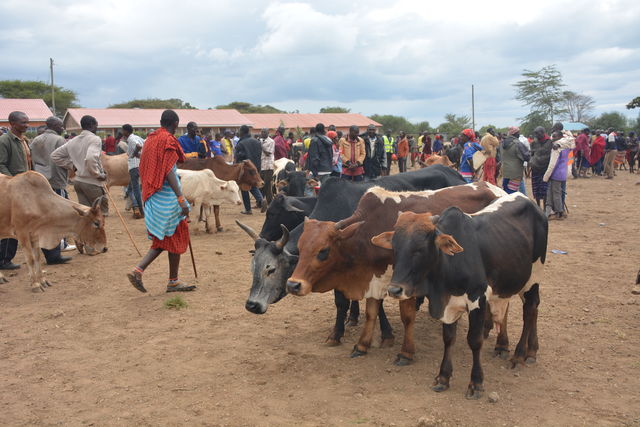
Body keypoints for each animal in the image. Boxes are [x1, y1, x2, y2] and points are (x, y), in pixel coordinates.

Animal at [284, 182, 504, 366]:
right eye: (300, 248)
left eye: (323, 251)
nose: (293, 285)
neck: (369, 231)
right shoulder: (375, 279)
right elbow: (371, 312)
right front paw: (362, 345)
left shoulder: (405, 284)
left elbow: (407, 317)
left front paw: (406, 352)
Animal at [372, 194, 548, 402]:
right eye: (395, 247)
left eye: (420, 248)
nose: (394, 289)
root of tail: (530, 202)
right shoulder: (449, 305)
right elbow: (448, 339)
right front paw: (443, 377)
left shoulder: (477, 298)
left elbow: (475, 340)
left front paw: (476, 383)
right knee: (530, 309)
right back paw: (528, 350)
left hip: (533, 277)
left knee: (530, 310)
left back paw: (520, 355)